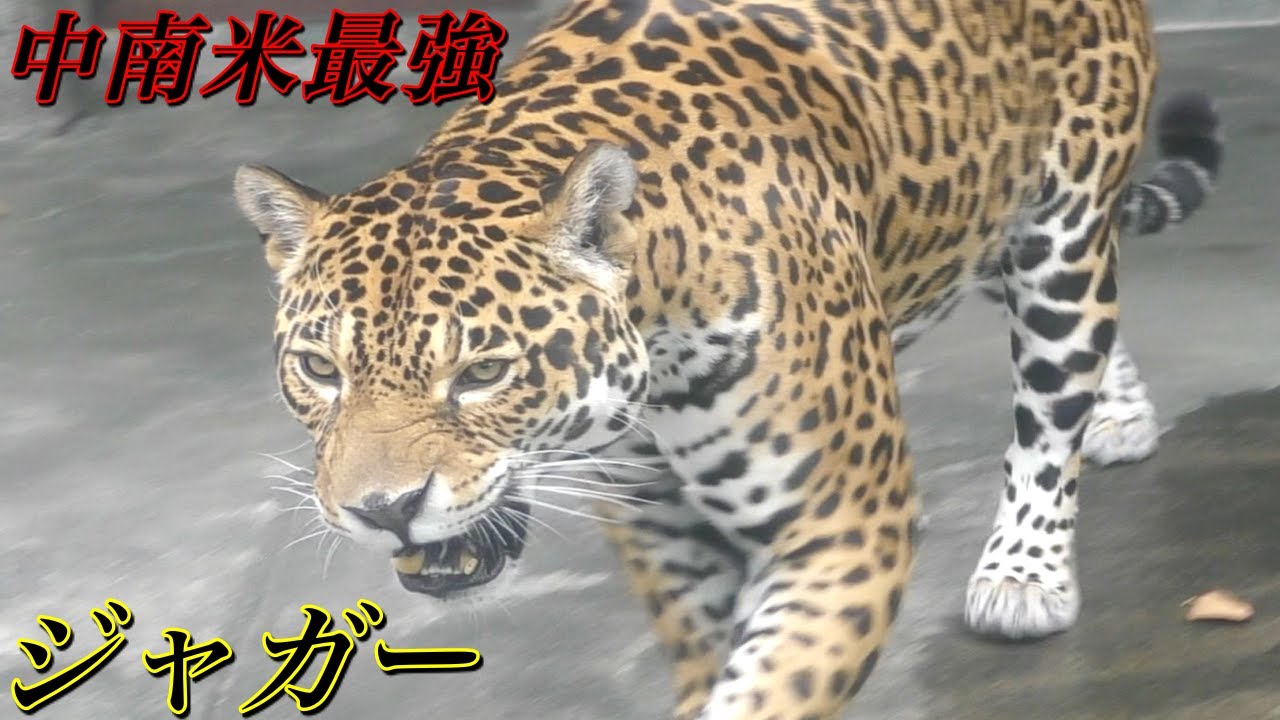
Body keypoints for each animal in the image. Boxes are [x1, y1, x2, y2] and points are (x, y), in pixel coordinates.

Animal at [231, 1, 1222, 717]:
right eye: (321, 371)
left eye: (482, 374)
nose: (384, 511)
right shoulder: (662, 535)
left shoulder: (843, 524)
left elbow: (772, 683)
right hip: (973, 211)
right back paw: (1117, 410)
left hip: (1060, 223)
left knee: (1054, 388)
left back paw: (1024, 568)